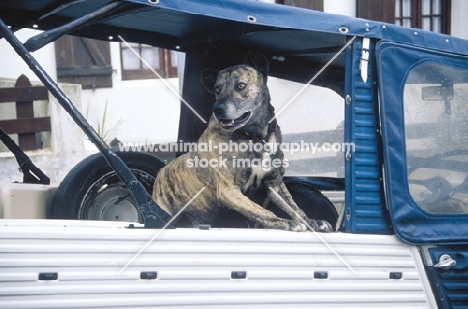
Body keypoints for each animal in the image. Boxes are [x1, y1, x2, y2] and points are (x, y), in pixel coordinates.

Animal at [154, 53, 332, 231]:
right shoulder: (229, 190)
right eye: (217, 90)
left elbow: (294, 207)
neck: (255, 137)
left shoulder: (274, 184)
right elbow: (263, 212)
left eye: (240, 85)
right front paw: (287, 223)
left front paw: (312, 222)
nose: (217, 109)